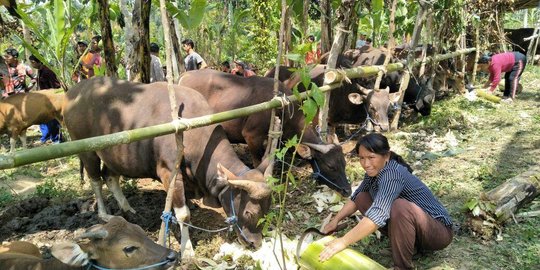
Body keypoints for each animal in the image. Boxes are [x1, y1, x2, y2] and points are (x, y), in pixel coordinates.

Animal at [63, 77, 272, 258]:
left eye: (268, 209)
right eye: (249, 212)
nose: (255, 243)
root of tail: (72, 93)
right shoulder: (169, 172)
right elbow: (183, 215)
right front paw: (187, 250)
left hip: (113, 155)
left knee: (110, 177)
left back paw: (128, 209)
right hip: (87, 151)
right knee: (95, 180)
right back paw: (104, 214)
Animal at [179, 69, 352, 196]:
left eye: (343, 163)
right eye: (330, 166)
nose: (348, 190)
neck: (282, 109)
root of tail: (184, 75)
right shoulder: (251, 136)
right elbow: (258, 163)